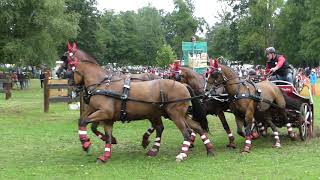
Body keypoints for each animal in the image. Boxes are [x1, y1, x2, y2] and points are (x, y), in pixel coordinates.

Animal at [65, 42, 214, 163]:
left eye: (68, 65)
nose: (70, 83)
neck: (102, 84)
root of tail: (183, 85)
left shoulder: (104, 113)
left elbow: (84, 122)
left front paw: (85, 143)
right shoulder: (106, 117)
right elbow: (104, 134)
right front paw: (105, 155)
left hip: (175, 114)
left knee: (186, 132)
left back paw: (181, 154)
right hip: (175, 114)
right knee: (196, 126)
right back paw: (209, 149)